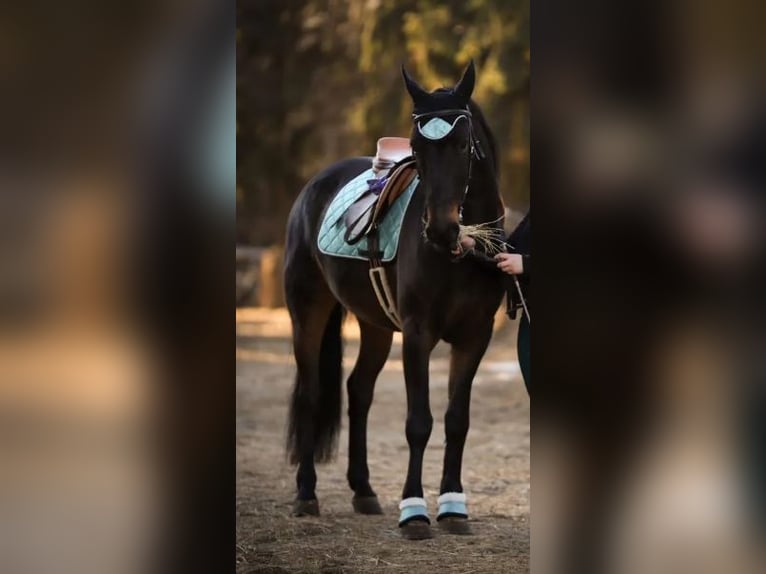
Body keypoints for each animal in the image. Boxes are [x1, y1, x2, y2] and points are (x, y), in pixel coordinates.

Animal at [284, 62, 508, 540]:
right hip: (308, 310)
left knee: (358, 390)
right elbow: (419, 422)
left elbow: (456, 421)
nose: (440, 229)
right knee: (312, 393)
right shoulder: (418, 334)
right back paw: (307, 494)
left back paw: (364, 491)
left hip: (375, 326)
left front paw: (454, 508)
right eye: (418, 148)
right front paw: (415, 512)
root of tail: (314, 185)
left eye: (463, 145)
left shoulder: (474, 337)